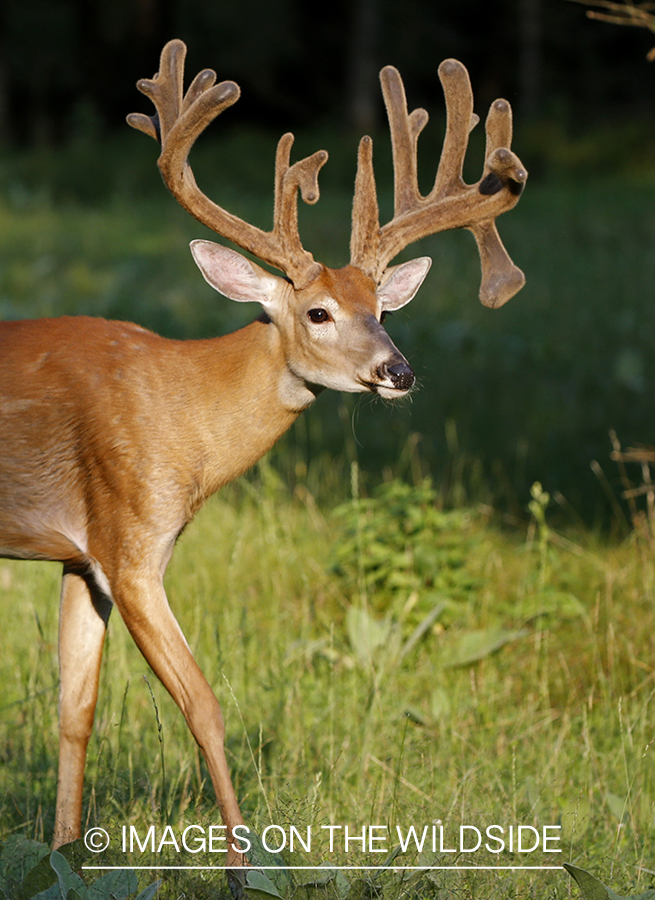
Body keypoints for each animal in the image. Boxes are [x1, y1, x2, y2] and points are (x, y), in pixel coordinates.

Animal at [0, 40, 524, 884]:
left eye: (384, 309)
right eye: (318, 311)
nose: (398, 372)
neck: (180, 407)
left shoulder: (82, 556)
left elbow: (75, 712)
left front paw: (63, 864)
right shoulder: (130, 541)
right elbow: (204, 705)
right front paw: (244, 868)